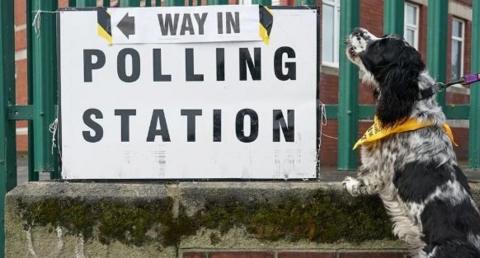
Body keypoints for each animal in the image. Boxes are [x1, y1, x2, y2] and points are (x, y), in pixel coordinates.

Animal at [344, 27, 480, 256]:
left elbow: (367, 180)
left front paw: (351, 184)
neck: (412, 104)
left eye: (381, 45)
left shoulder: (380, 168)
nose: (357, 30)